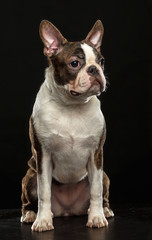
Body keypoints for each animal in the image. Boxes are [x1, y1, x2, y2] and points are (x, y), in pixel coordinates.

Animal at [20, 19, 114, 232]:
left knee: (102, 193)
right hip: (29, 175)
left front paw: (96, 217)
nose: (94, 69)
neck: (71, 106)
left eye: (101, 61)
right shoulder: (43, 155)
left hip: (104, 175)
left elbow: (96, 191)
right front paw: (43, 220)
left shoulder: (96, 154)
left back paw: (104, 210)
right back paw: (30, 214)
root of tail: (67, 211)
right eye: (74, 63)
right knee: (28, 200)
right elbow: (44, 192)